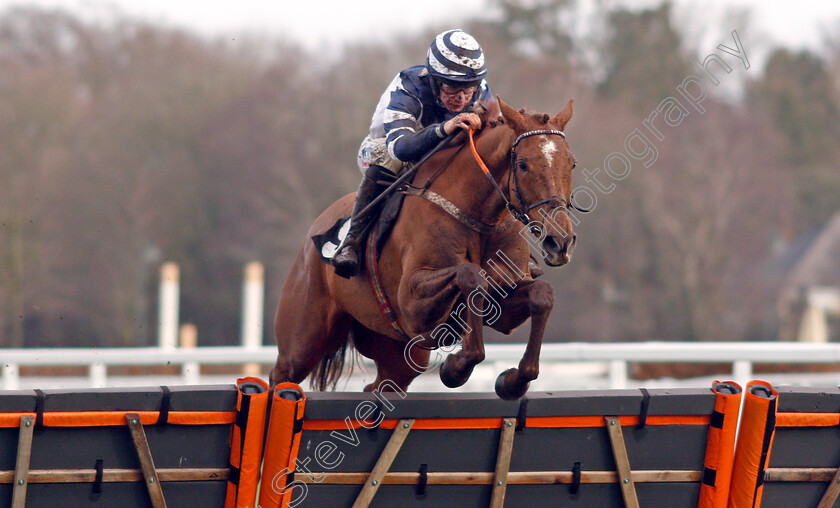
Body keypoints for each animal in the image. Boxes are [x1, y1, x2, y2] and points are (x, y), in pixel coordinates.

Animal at [270, 98, 576, 400]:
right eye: (522, 164)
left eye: (571, 163)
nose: (559, 241)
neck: (479, 216)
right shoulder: (412, 304)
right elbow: (471, 275)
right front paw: (456, 368)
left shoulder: (503, 305)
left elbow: (542, 294)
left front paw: (513, 381)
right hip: (302, 341)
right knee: (280, 376)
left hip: (398, 355)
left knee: (380, 386)